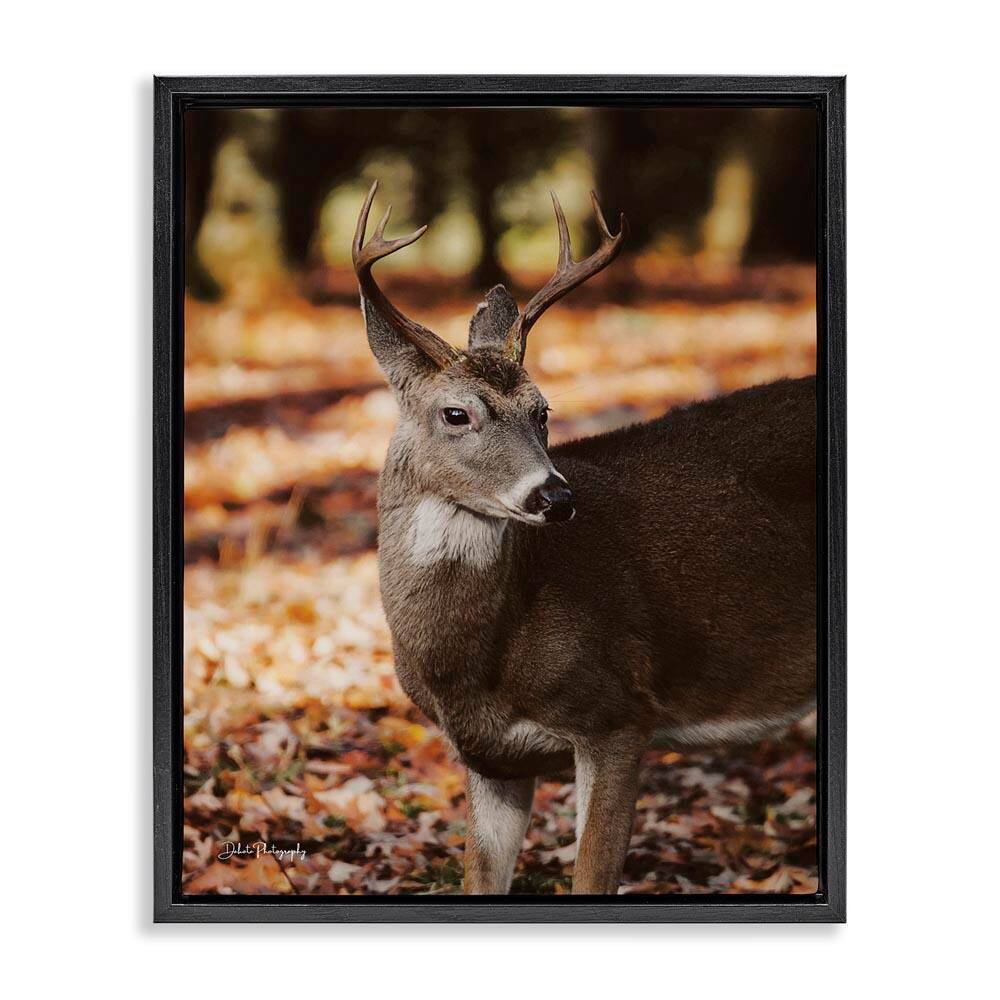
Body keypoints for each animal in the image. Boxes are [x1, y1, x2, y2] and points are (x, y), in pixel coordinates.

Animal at [352, 181, 816, 895]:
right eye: (457, 413)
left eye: (543, 412)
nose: (556, 497)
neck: (475, 665)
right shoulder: (490, 760)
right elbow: (480, 879)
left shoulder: (620, 713)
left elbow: (593, 876)